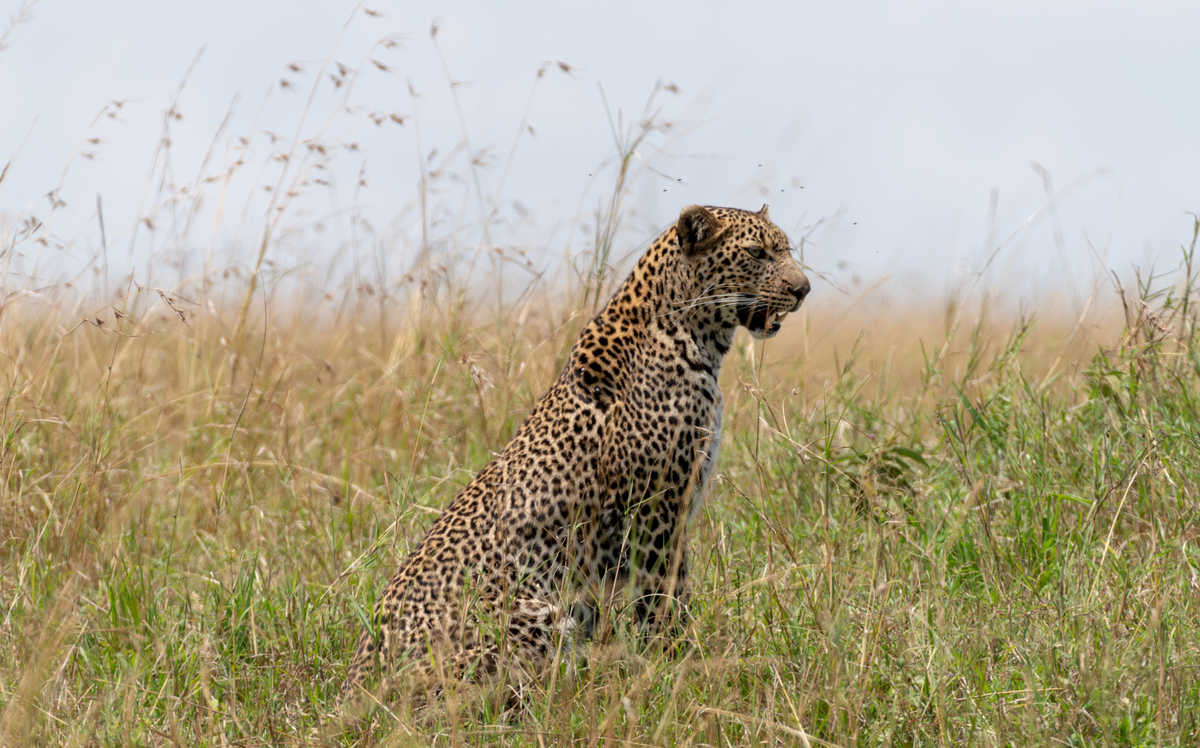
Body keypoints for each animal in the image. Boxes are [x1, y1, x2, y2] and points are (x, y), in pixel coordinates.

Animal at [345, 201, 816, 701]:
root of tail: (353, 688)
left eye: (786, 250)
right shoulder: (657, 509)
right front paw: (677, 663)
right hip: (537, 616)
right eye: (757, 253)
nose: (803, 289)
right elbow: (665, 595)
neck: (696, 338)